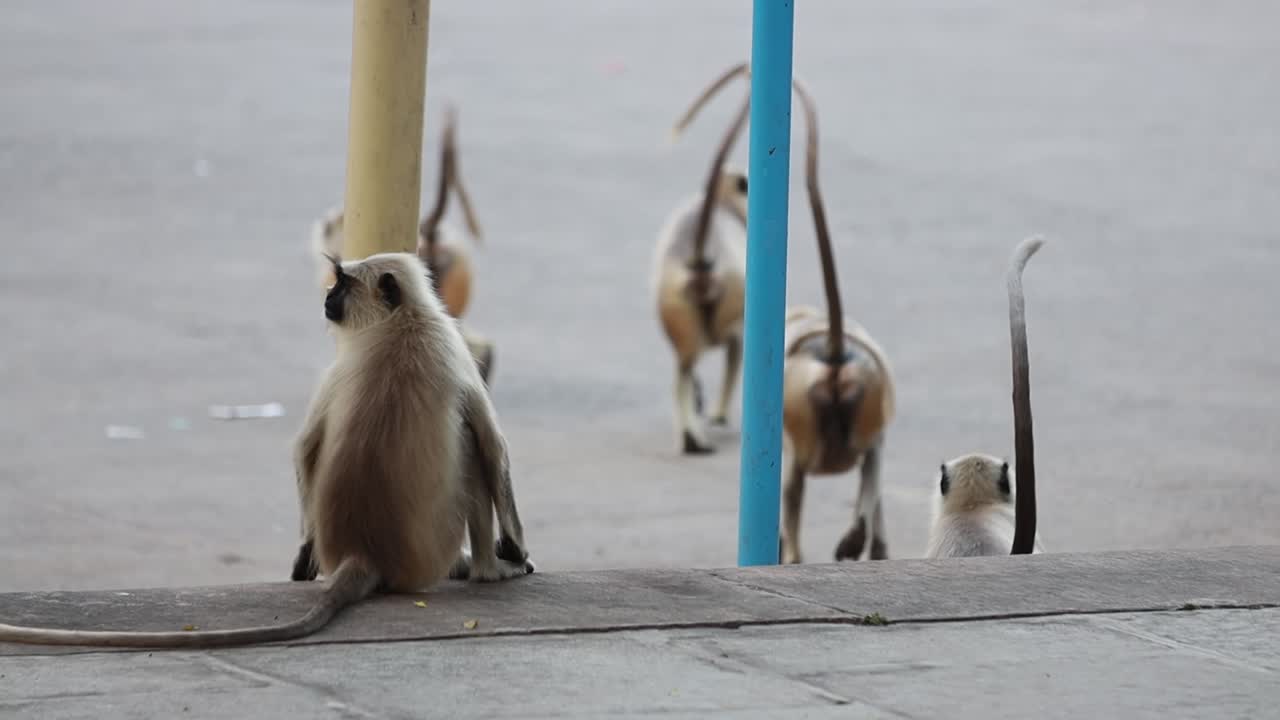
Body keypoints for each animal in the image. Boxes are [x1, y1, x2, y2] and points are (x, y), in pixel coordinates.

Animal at [0, 252, 532, 648]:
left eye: (342, 285)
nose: (326, 296)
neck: (404, 322)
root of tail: (362, 551)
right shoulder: (449, 342)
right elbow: (492, 445)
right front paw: (517, 551)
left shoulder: (350, 361)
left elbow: (306, 446)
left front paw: (303, 555)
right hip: (428, 555)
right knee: (470, 448)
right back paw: (486, 571)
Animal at [651, 63, 751, 455]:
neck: (723, 202)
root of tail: (699, 259)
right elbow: (735, 357)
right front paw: (720, 413)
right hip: (729, 303)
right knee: (717, 352)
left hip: (673, 300)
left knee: (684, 364)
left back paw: (691, 430)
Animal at [775, 80, 898, 565]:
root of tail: (833, 346)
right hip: (866, 408)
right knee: (873, 467)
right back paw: (858, 539)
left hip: (803, 436)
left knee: (794, 488)